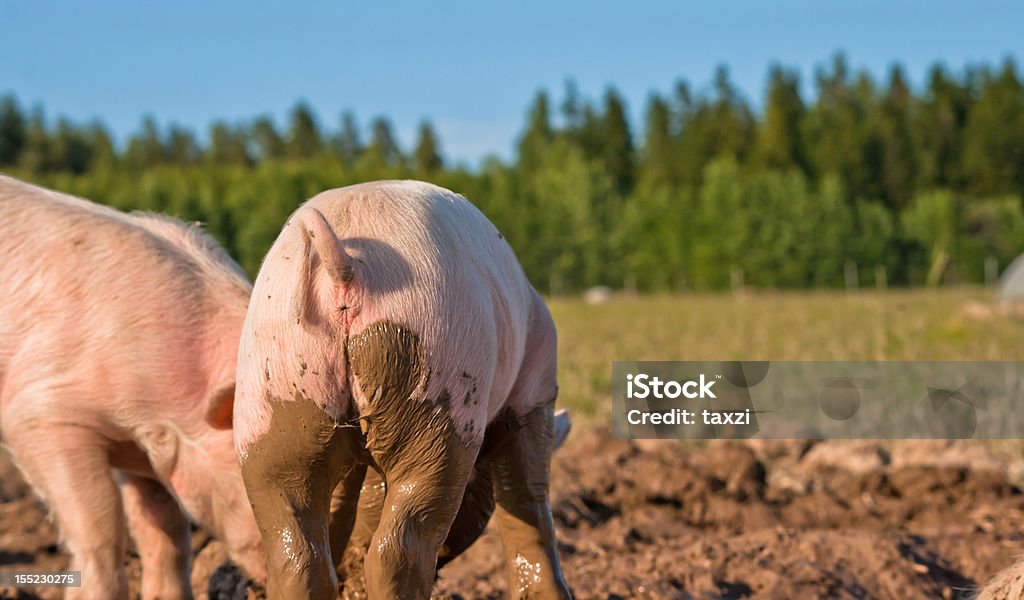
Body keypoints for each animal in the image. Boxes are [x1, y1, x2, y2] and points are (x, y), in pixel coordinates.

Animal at [234, 180, 577, 593]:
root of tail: (347, 269)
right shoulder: (534, 390)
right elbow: (527, 496)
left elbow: (347, 502)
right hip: (436, 380)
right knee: (400, 544)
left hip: (271, 397)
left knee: (294, 549)